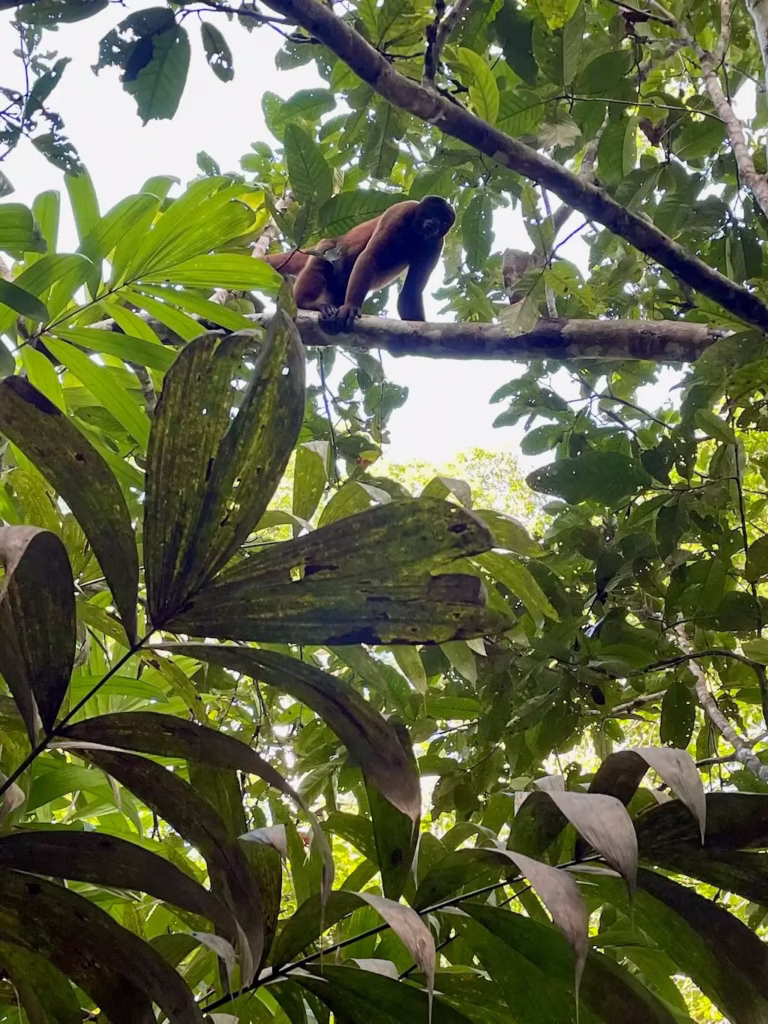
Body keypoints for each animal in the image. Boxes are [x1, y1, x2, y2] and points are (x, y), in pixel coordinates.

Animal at [263, 196, 455, 329]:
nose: (435, 223)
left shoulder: (436, 244)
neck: (415, 233)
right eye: (433, 213)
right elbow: (369, 257)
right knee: (319, 265)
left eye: (444, 221)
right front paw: (351, 306)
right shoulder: (400, 211)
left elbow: (411, 292)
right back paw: (305, 303)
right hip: (326, 246)